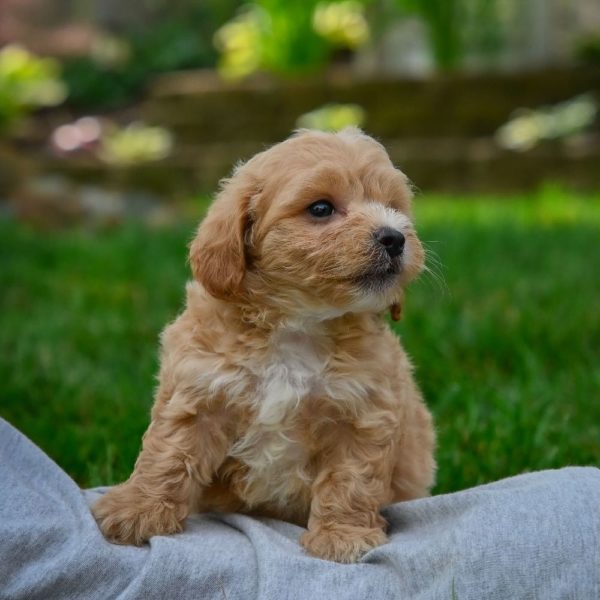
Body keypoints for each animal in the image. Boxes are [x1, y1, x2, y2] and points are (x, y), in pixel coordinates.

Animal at [91, 129, 434, 564]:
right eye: (321, 208)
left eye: (393, 208)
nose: (394, 236)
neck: (298, 325)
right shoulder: (198, 393)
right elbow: (167, 455)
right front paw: (137, 511)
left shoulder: (362, 416)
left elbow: (351, 480)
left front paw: (343, 536)